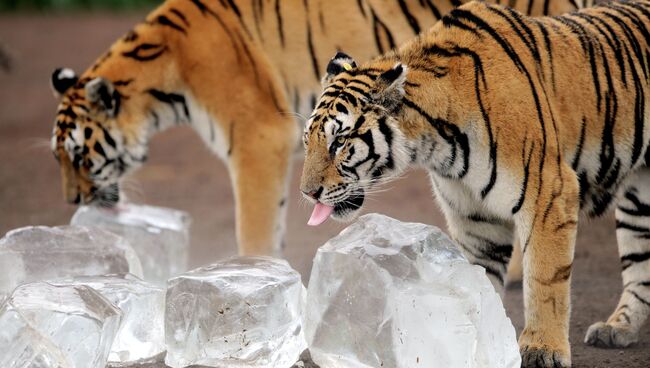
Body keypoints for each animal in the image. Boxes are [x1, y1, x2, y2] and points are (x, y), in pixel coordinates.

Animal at [302, 0, 648, 366]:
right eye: (308, 140)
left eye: (339, 142)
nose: (307, 193)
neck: (437, 142)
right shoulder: (476, 218)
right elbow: (476, 283)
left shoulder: (550, 190)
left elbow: (544, 280)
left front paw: (543, 349)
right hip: (639, 202)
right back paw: (618, 329)